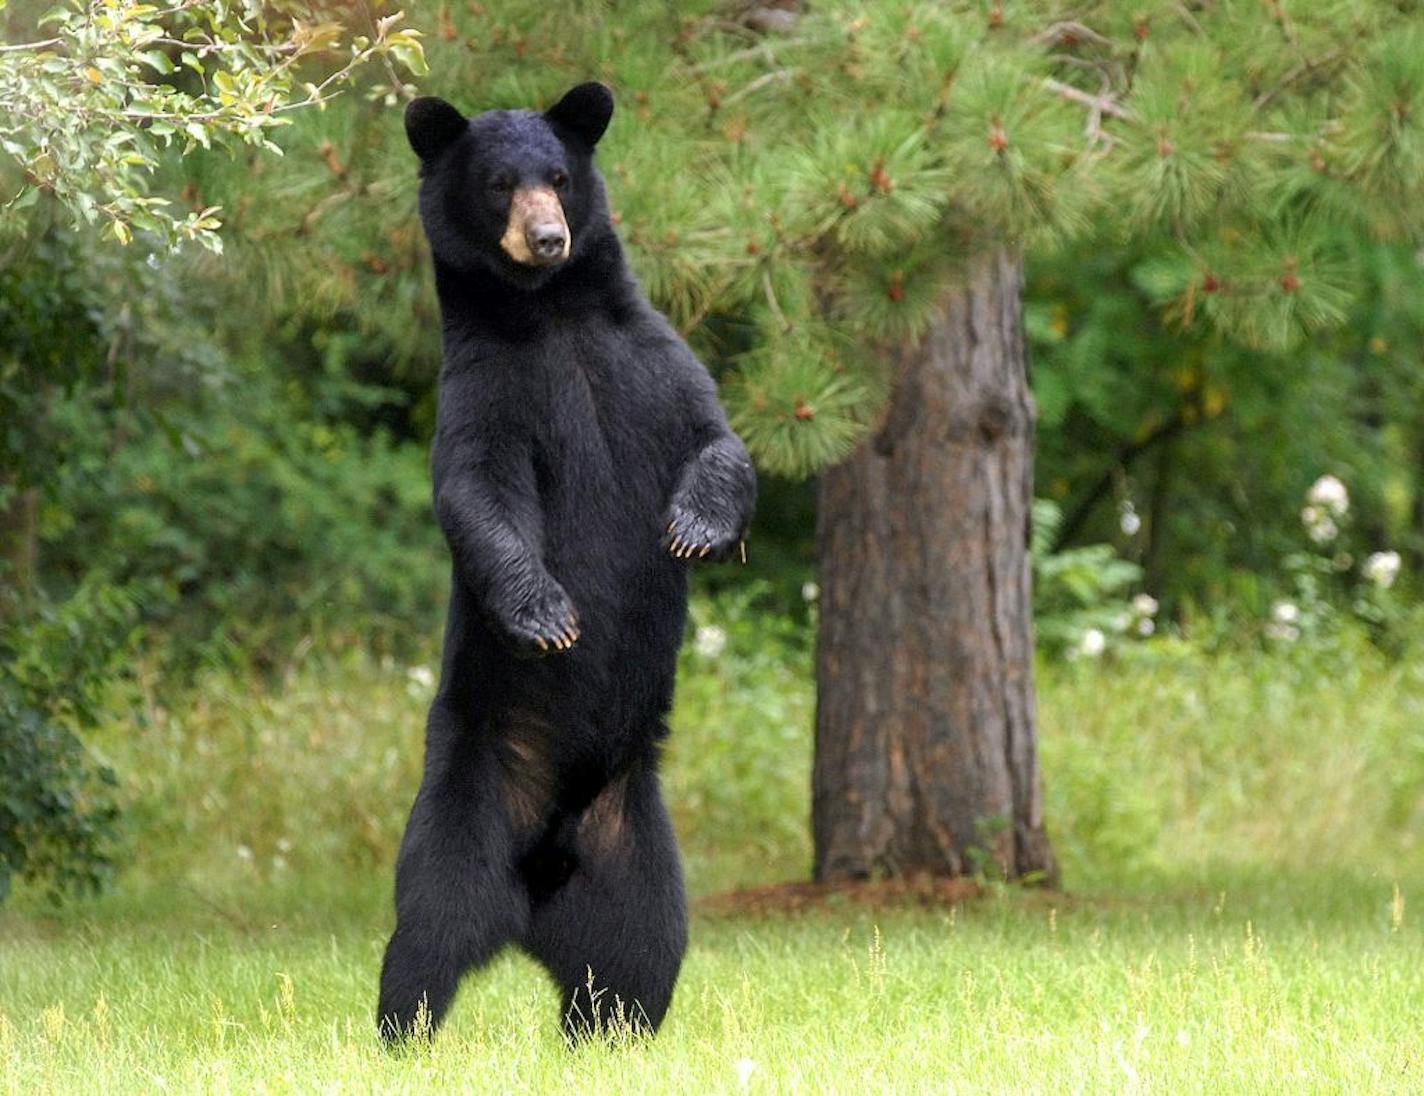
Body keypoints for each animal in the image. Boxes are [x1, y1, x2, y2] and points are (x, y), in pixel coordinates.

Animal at [375, 78, 757, 1041]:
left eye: (556, 177)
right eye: (500, 184)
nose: (547, 237)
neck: (551, 310)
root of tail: (539, 875)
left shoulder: (650, 357)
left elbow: (720, 440)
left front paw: (696, 526)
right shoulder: (487, 390)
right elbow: (478, 490)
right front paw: (545, 613)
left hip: (633, 838)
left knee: (640, 948)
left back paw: (614, 1031)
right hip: (467, 796)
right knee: (430, 928)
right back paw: (404, 1032)